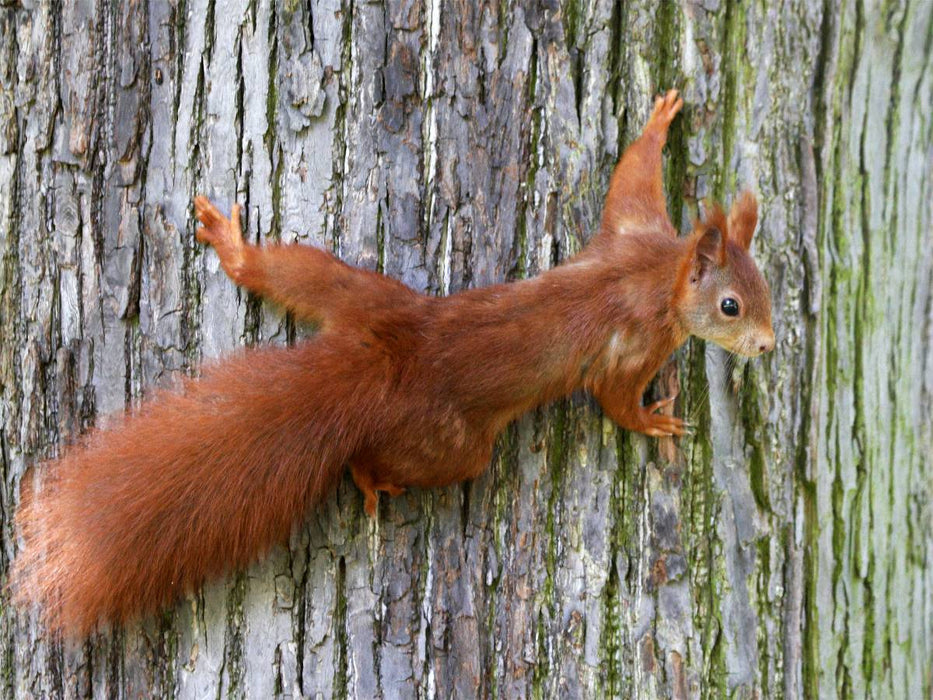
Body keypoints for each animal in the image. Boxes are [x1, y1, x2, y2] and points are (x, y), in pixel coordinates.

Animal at [11, 89, 774, 636]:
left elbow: (628, 179)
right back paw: (370, 477)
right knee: (396, 458)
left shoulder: (633, 230)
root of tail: (383, 365)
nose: (768, 346)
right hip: (449, 442)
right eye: (731, 306)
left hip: (356, 293)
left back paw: (237, 249)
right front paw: (654, 422)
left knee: (289, 272)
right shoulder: (634, 340)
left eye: (768, 290)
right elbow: (614, 400)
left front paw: (657, 121)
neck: (659, 274)